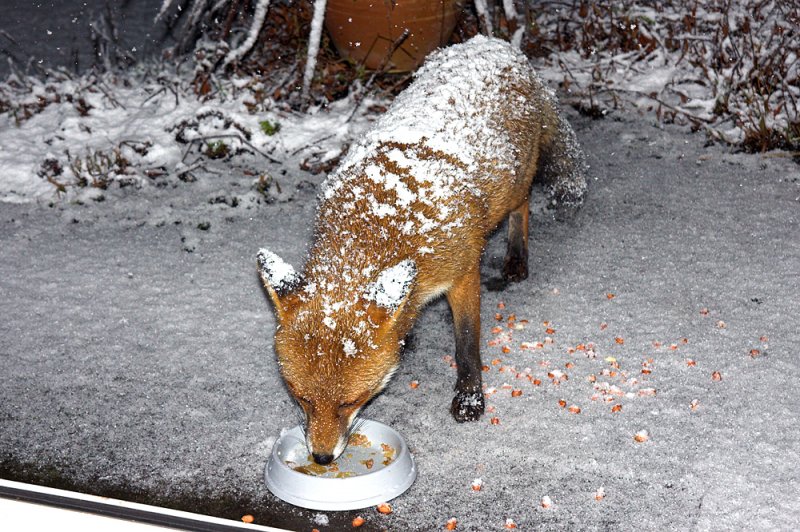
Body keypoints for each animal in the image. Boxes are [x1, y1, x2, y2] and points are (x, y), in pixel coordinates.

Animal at [260, 35, 584, 464]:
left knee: (525, 203)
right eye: (302, 399)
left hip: (514, 186)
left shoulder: (462, 273)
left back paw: (517, 258)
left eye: (350, 402)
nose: (322, 458)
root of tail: (494, 43)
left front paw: (470, 398)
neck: (377, 223)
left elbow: (467, 345)